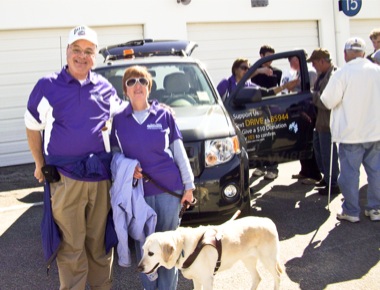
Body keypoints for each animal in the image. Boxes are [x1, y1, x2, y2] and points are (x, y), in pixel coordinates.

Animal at [137, 215, 282, 290]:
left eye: (151, 253)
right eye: (143, 251)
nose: (139, 268)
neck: (183, 246)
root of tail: (268, 220)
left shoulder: (207, 279)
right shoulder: (196, 279)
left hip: (268, 259)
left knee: (277, 276)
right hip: (248, 259)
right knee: (257, 277)